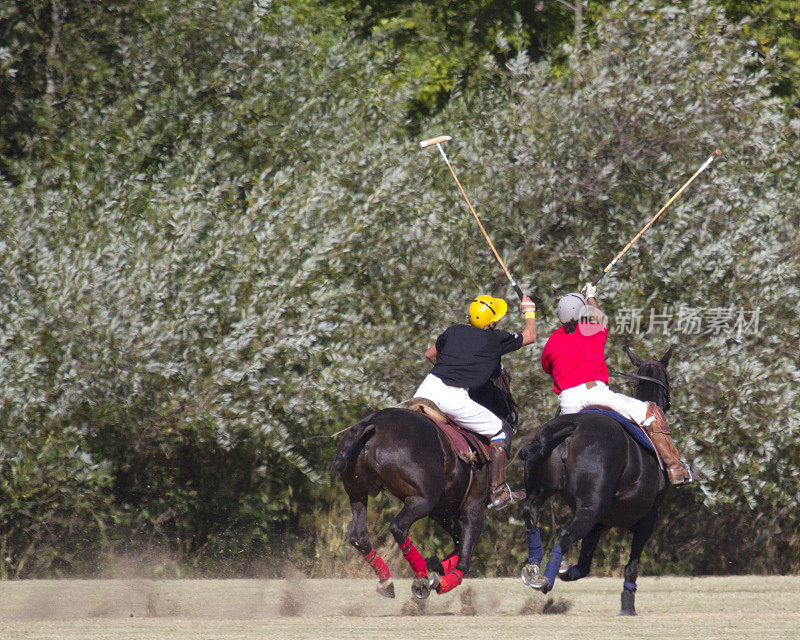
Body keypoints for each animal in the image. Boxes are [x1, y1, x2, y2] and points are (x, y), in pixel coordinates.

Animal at [332, 370, 520, 600]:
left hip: (357, 493)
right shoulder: (474, 508)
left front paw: (438, 564)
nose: (514, 416)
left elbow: (458, 542)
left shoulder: (443, 511)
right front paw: (442, 578)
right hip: (423, 500)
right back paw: (421, 580)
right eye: (506, 379)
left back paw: (387, 581)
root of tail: (373, 425)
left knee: (358, 536)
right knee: (398, 527)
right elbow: (465, 557)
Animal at [520, 344, 676, 616]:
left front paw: (567, 570)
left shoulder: (602, 521)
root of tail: (573, 427)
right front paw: (628, 605)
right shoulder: (648, 517)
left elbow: (585, 564)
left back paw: (535, 570)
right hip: (592, 507)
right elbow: (632, 564)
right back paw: (546, 580)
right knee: (566, 533)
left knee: (531, 512)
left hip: (548, 491)